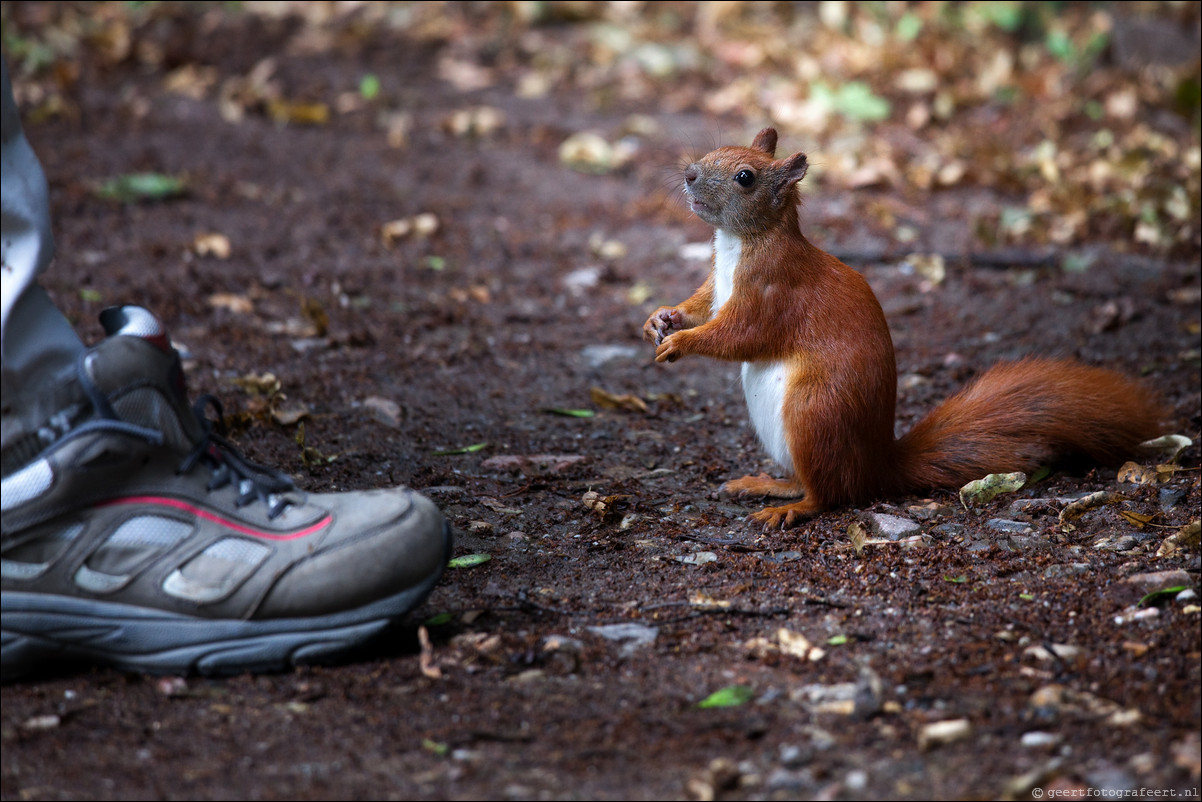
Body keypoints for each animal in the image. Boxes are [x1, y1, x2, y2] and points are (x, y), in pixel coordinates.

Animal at [649, 128, 1163, 529]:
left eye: (745, 177)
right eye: (719, 149)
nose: (689, 174)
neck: (738, 242)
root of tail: (877, 468)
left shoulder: (773, 292)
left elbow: (739, 335)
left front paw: (681, 342)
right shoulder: (716, 282)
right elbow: (700, 304)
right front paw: (661, 318)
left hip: (813, 413)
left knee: (830, 495)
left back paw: (791, 508)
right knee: (810, 481)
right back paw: (765, 483)